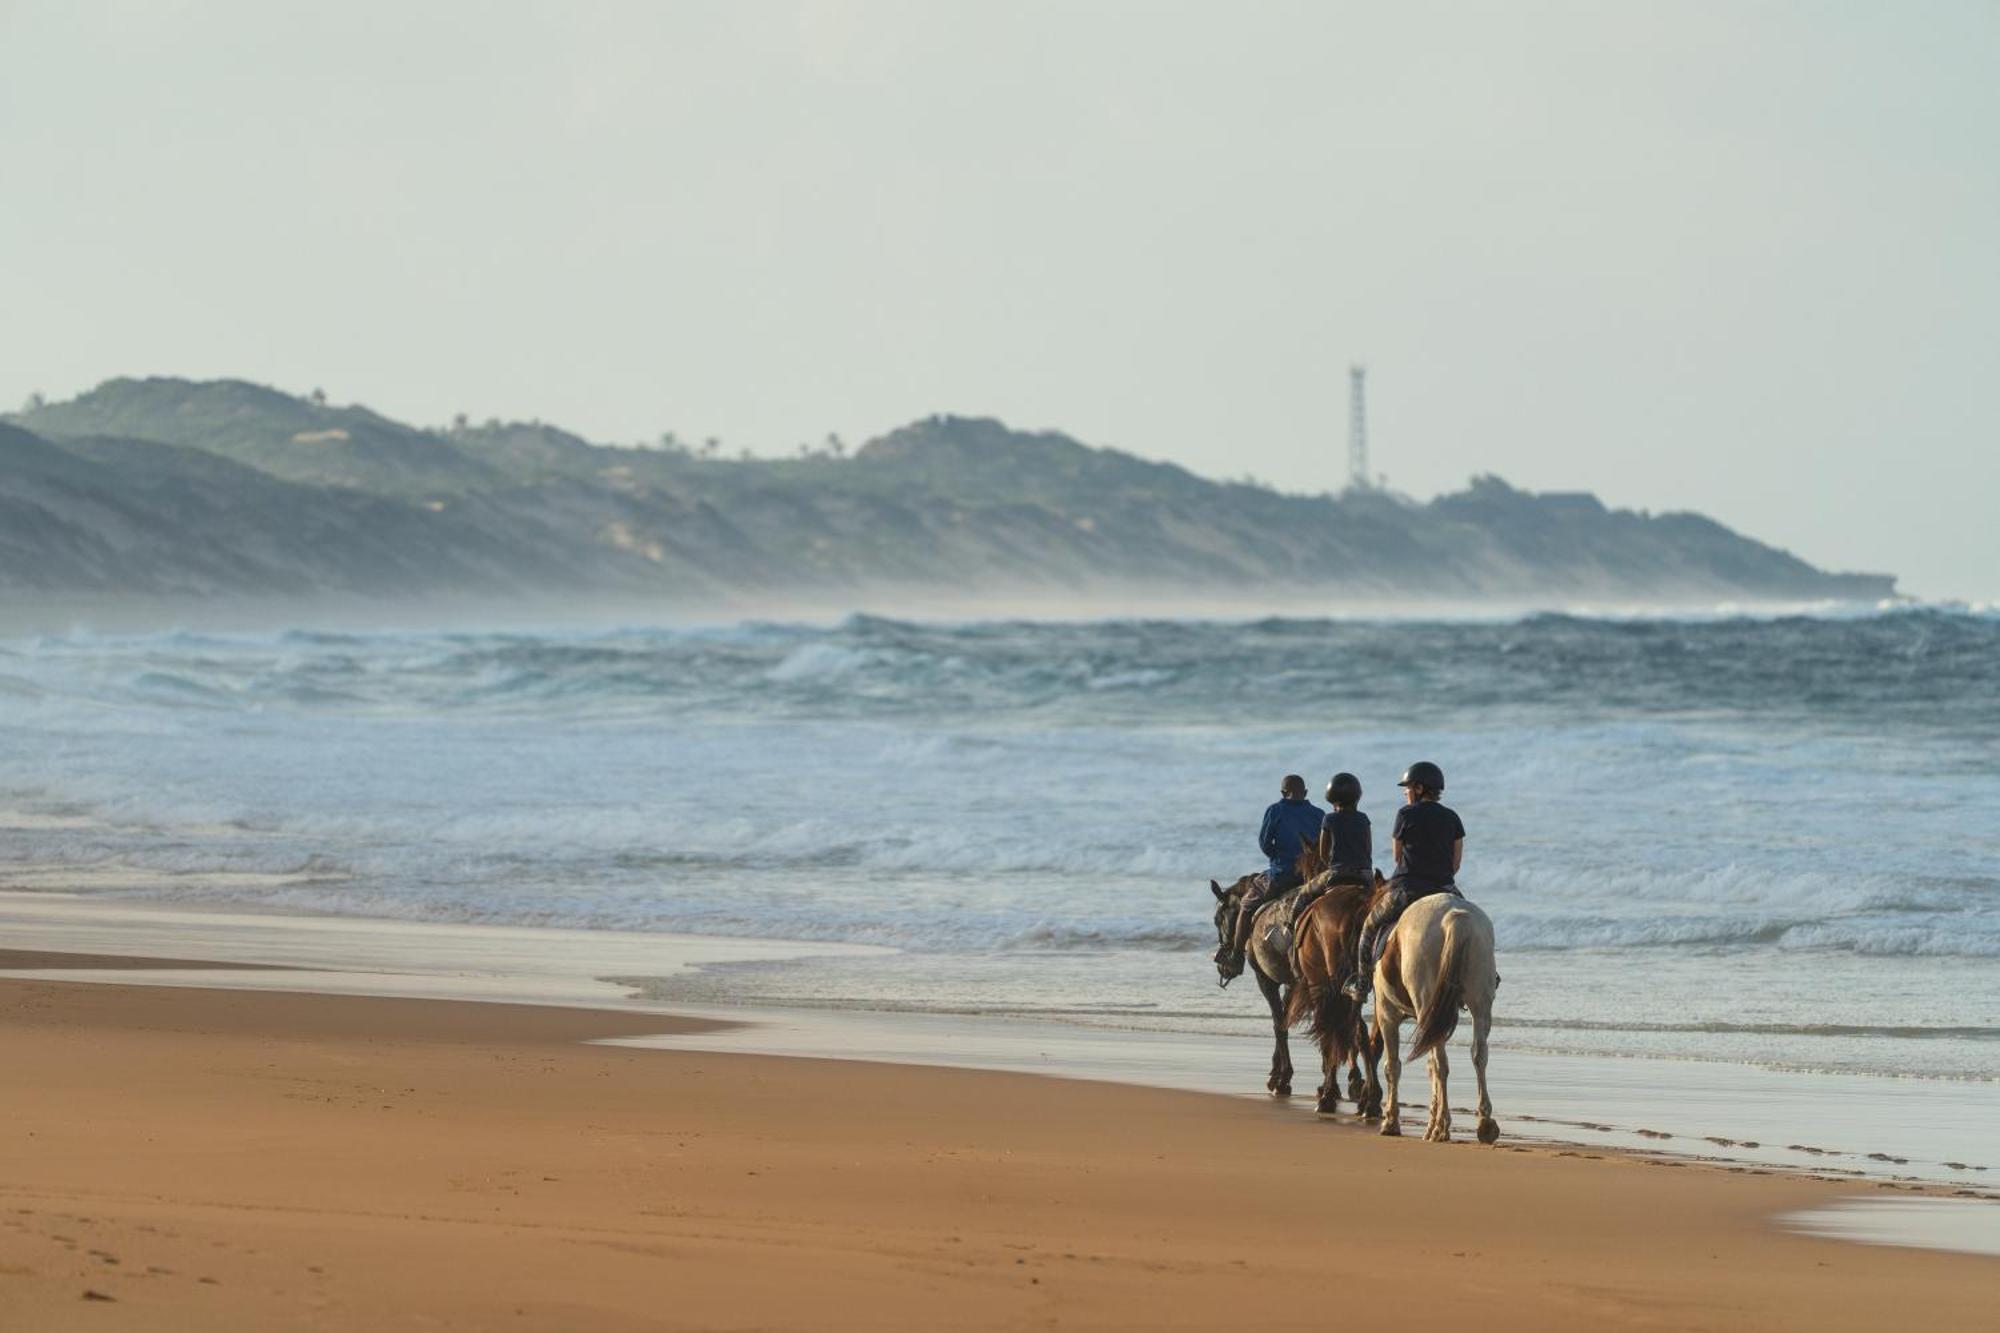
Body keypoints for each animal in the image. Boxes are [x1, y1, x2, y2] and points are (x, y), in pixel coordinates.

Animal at [1368, 888, 1496, 1136]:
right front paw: (1430, 1121)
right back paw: (1484, 1123)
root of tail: (1456, 916)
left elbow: (1393, 1066)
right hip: (1480, 1003)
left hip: (1425, 1000)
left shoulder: (1387, 1014)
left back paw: (1442, 1127)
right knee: (1479, 1054)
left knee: (1440, 1063)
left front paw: (1391, 1122)